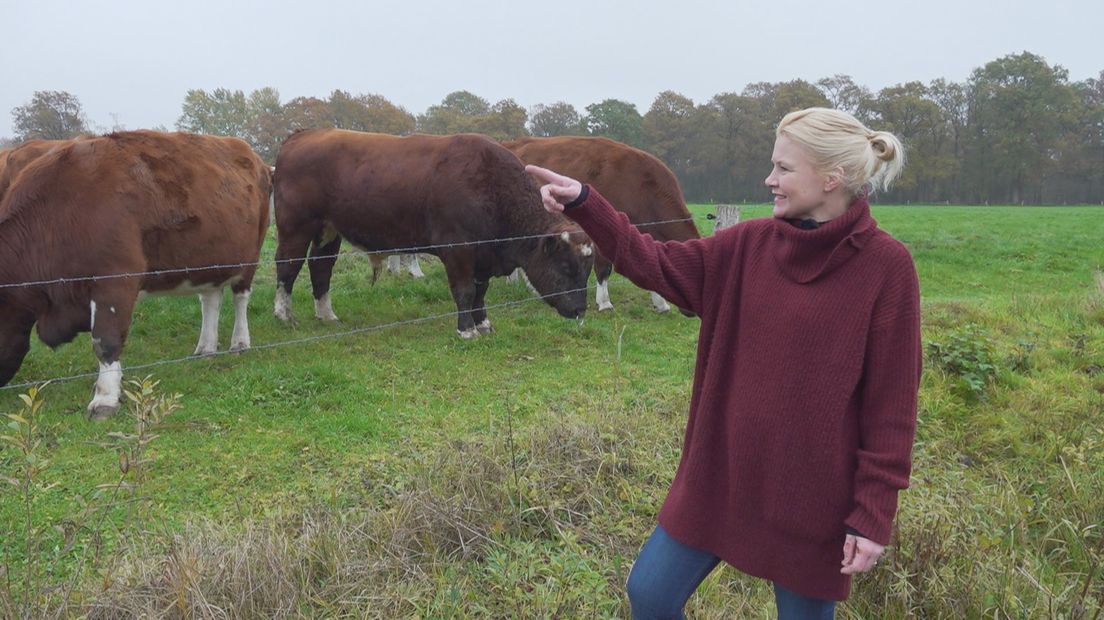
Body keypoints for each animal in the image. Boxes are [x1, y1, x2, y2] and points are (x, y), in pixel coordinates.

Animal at [1, 130, 272, 419]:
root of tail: (251, 155)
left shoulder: (114, 282)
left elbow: (105, 341)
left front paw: (105, 399)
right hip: (209, 259)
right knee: (210, 300)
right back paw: (205, 348)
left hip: (250, 254)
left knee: (240, 297)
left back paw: (239, 343)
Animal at [269, 127, 596, 335]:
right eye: (566, 267)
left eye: (587, 269)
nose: (580, 310)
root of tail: (303, 134)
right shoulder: (458, 250)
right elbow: (464, 291)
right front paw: (467, 330)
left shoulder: (482, 257)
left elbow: (480, 292)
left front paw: (483, 323)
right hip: (296, 227)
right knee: (287, 266)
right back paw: (284, 314)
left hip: (328, 230)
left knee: (320, 267)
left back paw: (326, 315)